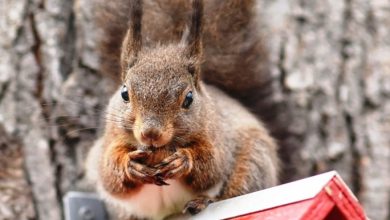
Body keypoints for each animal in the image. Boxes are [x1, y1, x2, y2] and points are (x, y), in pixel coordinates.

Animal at [86, 0, 278, 218]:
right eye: (124, 93)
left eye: (189, 98)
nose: (150, 133)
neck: (160, 151)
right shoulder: (110, 140)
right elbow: (109, 174)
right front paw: (130, 165)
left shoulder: (218, 137)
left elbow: (212, 166)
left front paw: (184, 160)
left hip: (254, 159)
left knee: (240, 187)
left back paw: (203, 201)